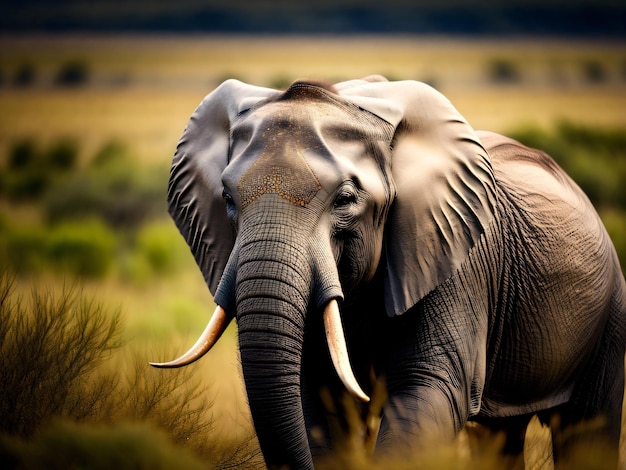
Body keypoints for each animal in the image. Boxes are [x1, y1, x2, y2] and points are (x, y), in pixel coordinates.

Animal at [152, 75, 624, 468]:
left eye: (345, 199)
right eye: (227, 199)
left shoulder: (455, 255)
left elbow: (428, 390)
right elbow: (319, 398)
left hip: (609, 310)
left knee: (587, 431)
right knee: (499, 435)